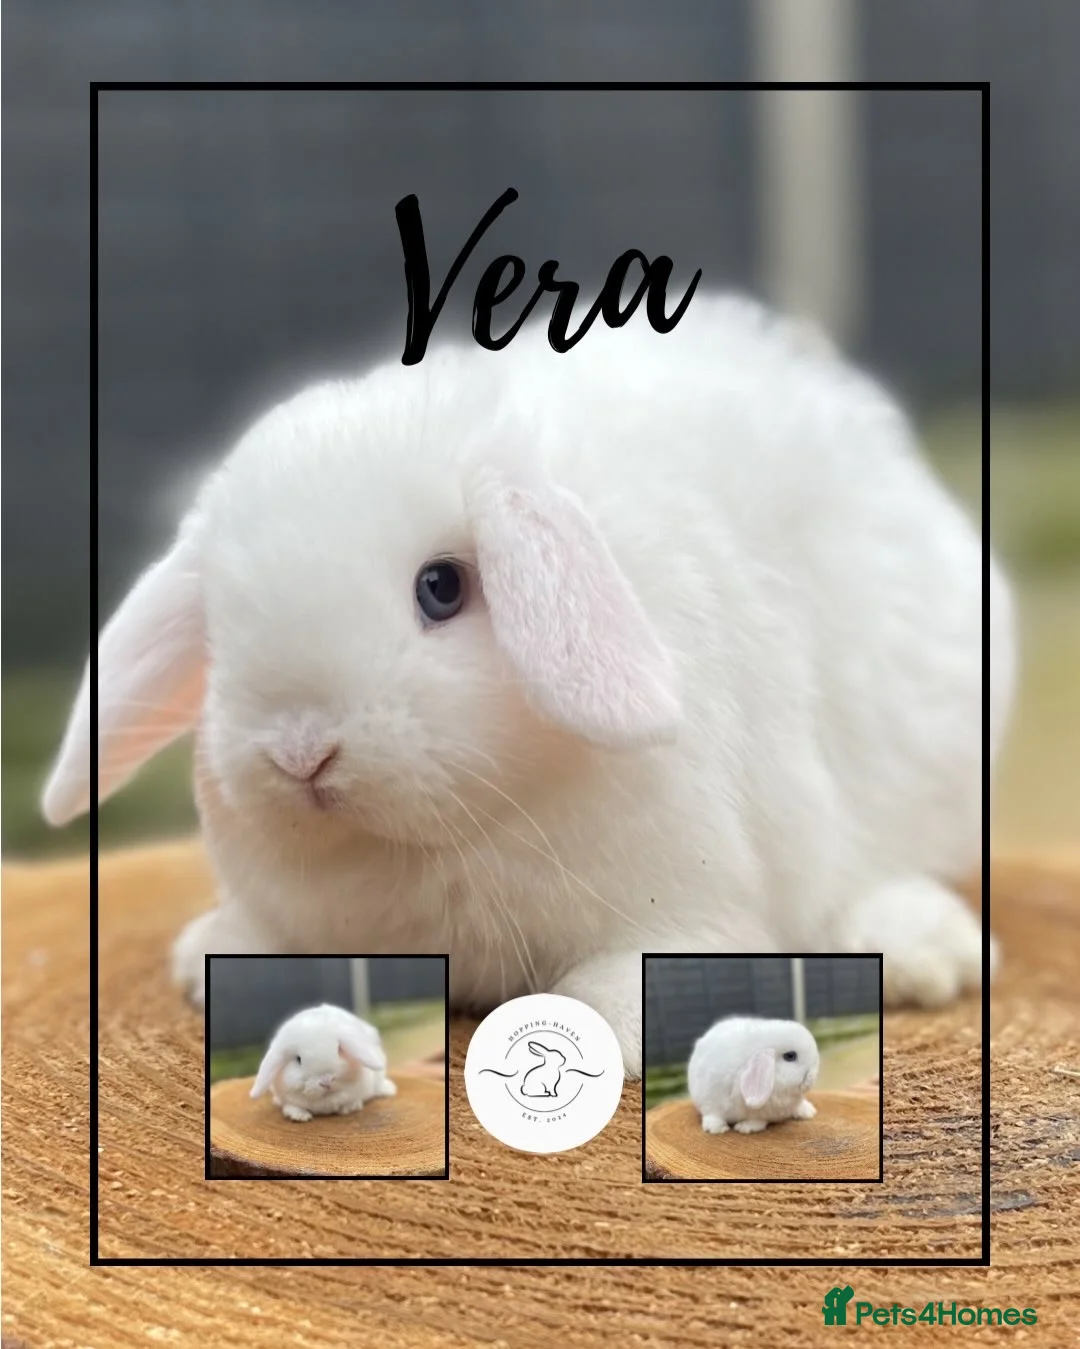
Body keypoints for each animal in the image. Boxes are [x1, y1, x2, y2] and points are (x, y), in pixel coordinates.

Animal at [42, 293, 1014, 1080]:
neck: (431, 843)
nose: (300, 751)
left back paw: (923, 949)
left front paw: (606, 1030)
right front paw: (216, 954)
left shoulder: (687, 907)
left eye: (442, 587)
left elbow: (639, 973)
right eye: (220, 620)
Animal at [249, 1003, 397, 1122]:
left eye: (338, 1049)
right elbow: (290, 1106)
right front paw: (300, 1116)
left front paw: (349, 1108)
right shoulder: (287, 1097)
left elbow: (354, 1099)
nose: (326, 1081)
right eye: (298, 1059)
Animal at [687, 1015, 821, 1134]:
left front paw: (745, 1127)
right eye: (790, 1056)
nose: (812, 1076)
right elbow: (712, 1114)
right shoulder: (710, 1100)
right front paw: (717, 1129)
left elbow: (758, 1120)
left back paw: (808, 1111)